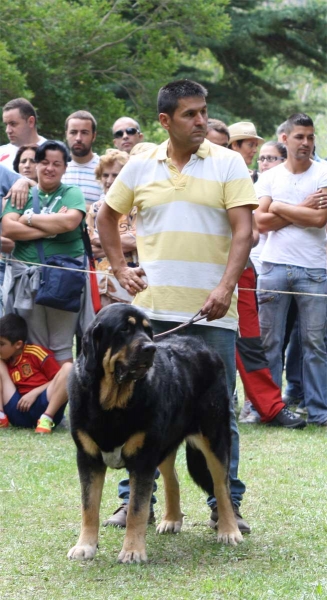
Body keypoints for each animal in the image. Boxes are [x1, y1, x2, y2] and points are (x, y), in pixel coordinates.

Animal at [68, 304, 243, 564]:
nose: (150, 347)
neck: (112, 403)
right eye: (124, 329)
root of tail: (203, 346)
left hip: (214, 436)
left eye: (148, 331)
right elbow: (89, 507)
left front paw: (132, 551)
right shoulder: (88, 458)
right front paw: (85, 546)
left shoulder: (143, 460)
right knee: (173, 479)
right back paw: (172, 520)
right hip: (164, 443)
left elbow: (137, 510)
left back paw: (230, 530)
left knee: (222, 487)